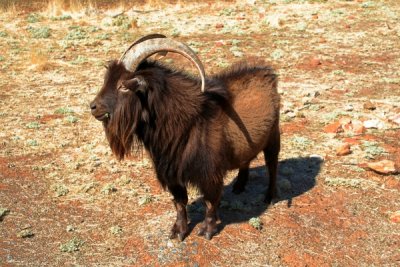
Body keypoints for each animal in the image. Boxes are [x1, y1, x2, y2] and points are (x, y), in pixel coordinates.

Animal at [89, 34, 280, 242]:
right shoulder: (171, 173)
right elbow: (180, 203)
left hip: (273, 137)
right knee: (246, 160)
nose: (93, 107)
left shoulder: (209, 173)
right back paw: (239, 186)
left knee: (272, 167)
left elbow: (211, 202)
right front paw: (178, 231)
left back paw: (269, 197)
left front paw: (207, 230)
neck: (186, 121)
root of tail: (268, 73)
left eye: (123, 86)